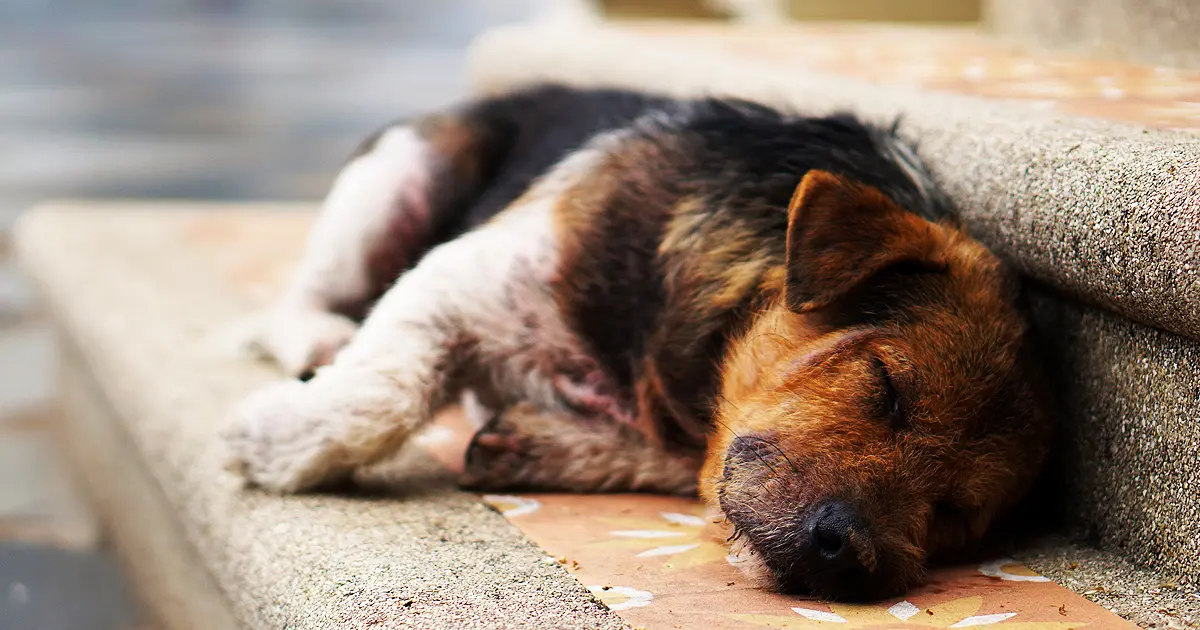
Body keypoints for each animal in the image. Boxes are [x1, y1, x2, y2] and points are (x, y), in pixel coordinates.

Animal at [225, 83, 1051, 600]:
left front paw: (539, 443)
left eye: (956, 514)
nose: (851, 558)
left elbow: (675, 460)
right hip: (397, 178)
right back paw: (318, 342)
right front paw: (280, 443)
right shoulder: (465, 276)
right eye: (886, 387)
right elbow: (385, 391)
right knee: (293, 302)